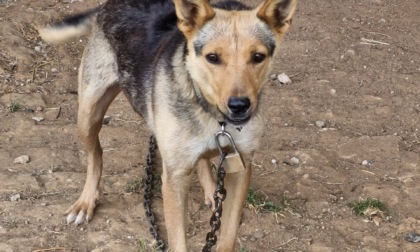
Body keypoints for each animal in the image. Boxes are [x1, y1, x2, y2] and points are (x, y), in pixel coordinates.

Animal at [38, 0, 296, 250]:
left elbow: (228, 237)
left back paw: (212, 191)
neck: (215, 117)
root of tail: (107, 5)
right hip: (88, 114)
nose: (240, 106)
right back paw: (86, 202)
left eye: (258, 57)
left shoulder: (241, 166)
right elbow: (178, 241)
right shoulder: (174, 179)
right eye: (212, 57)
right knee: (96, 156)